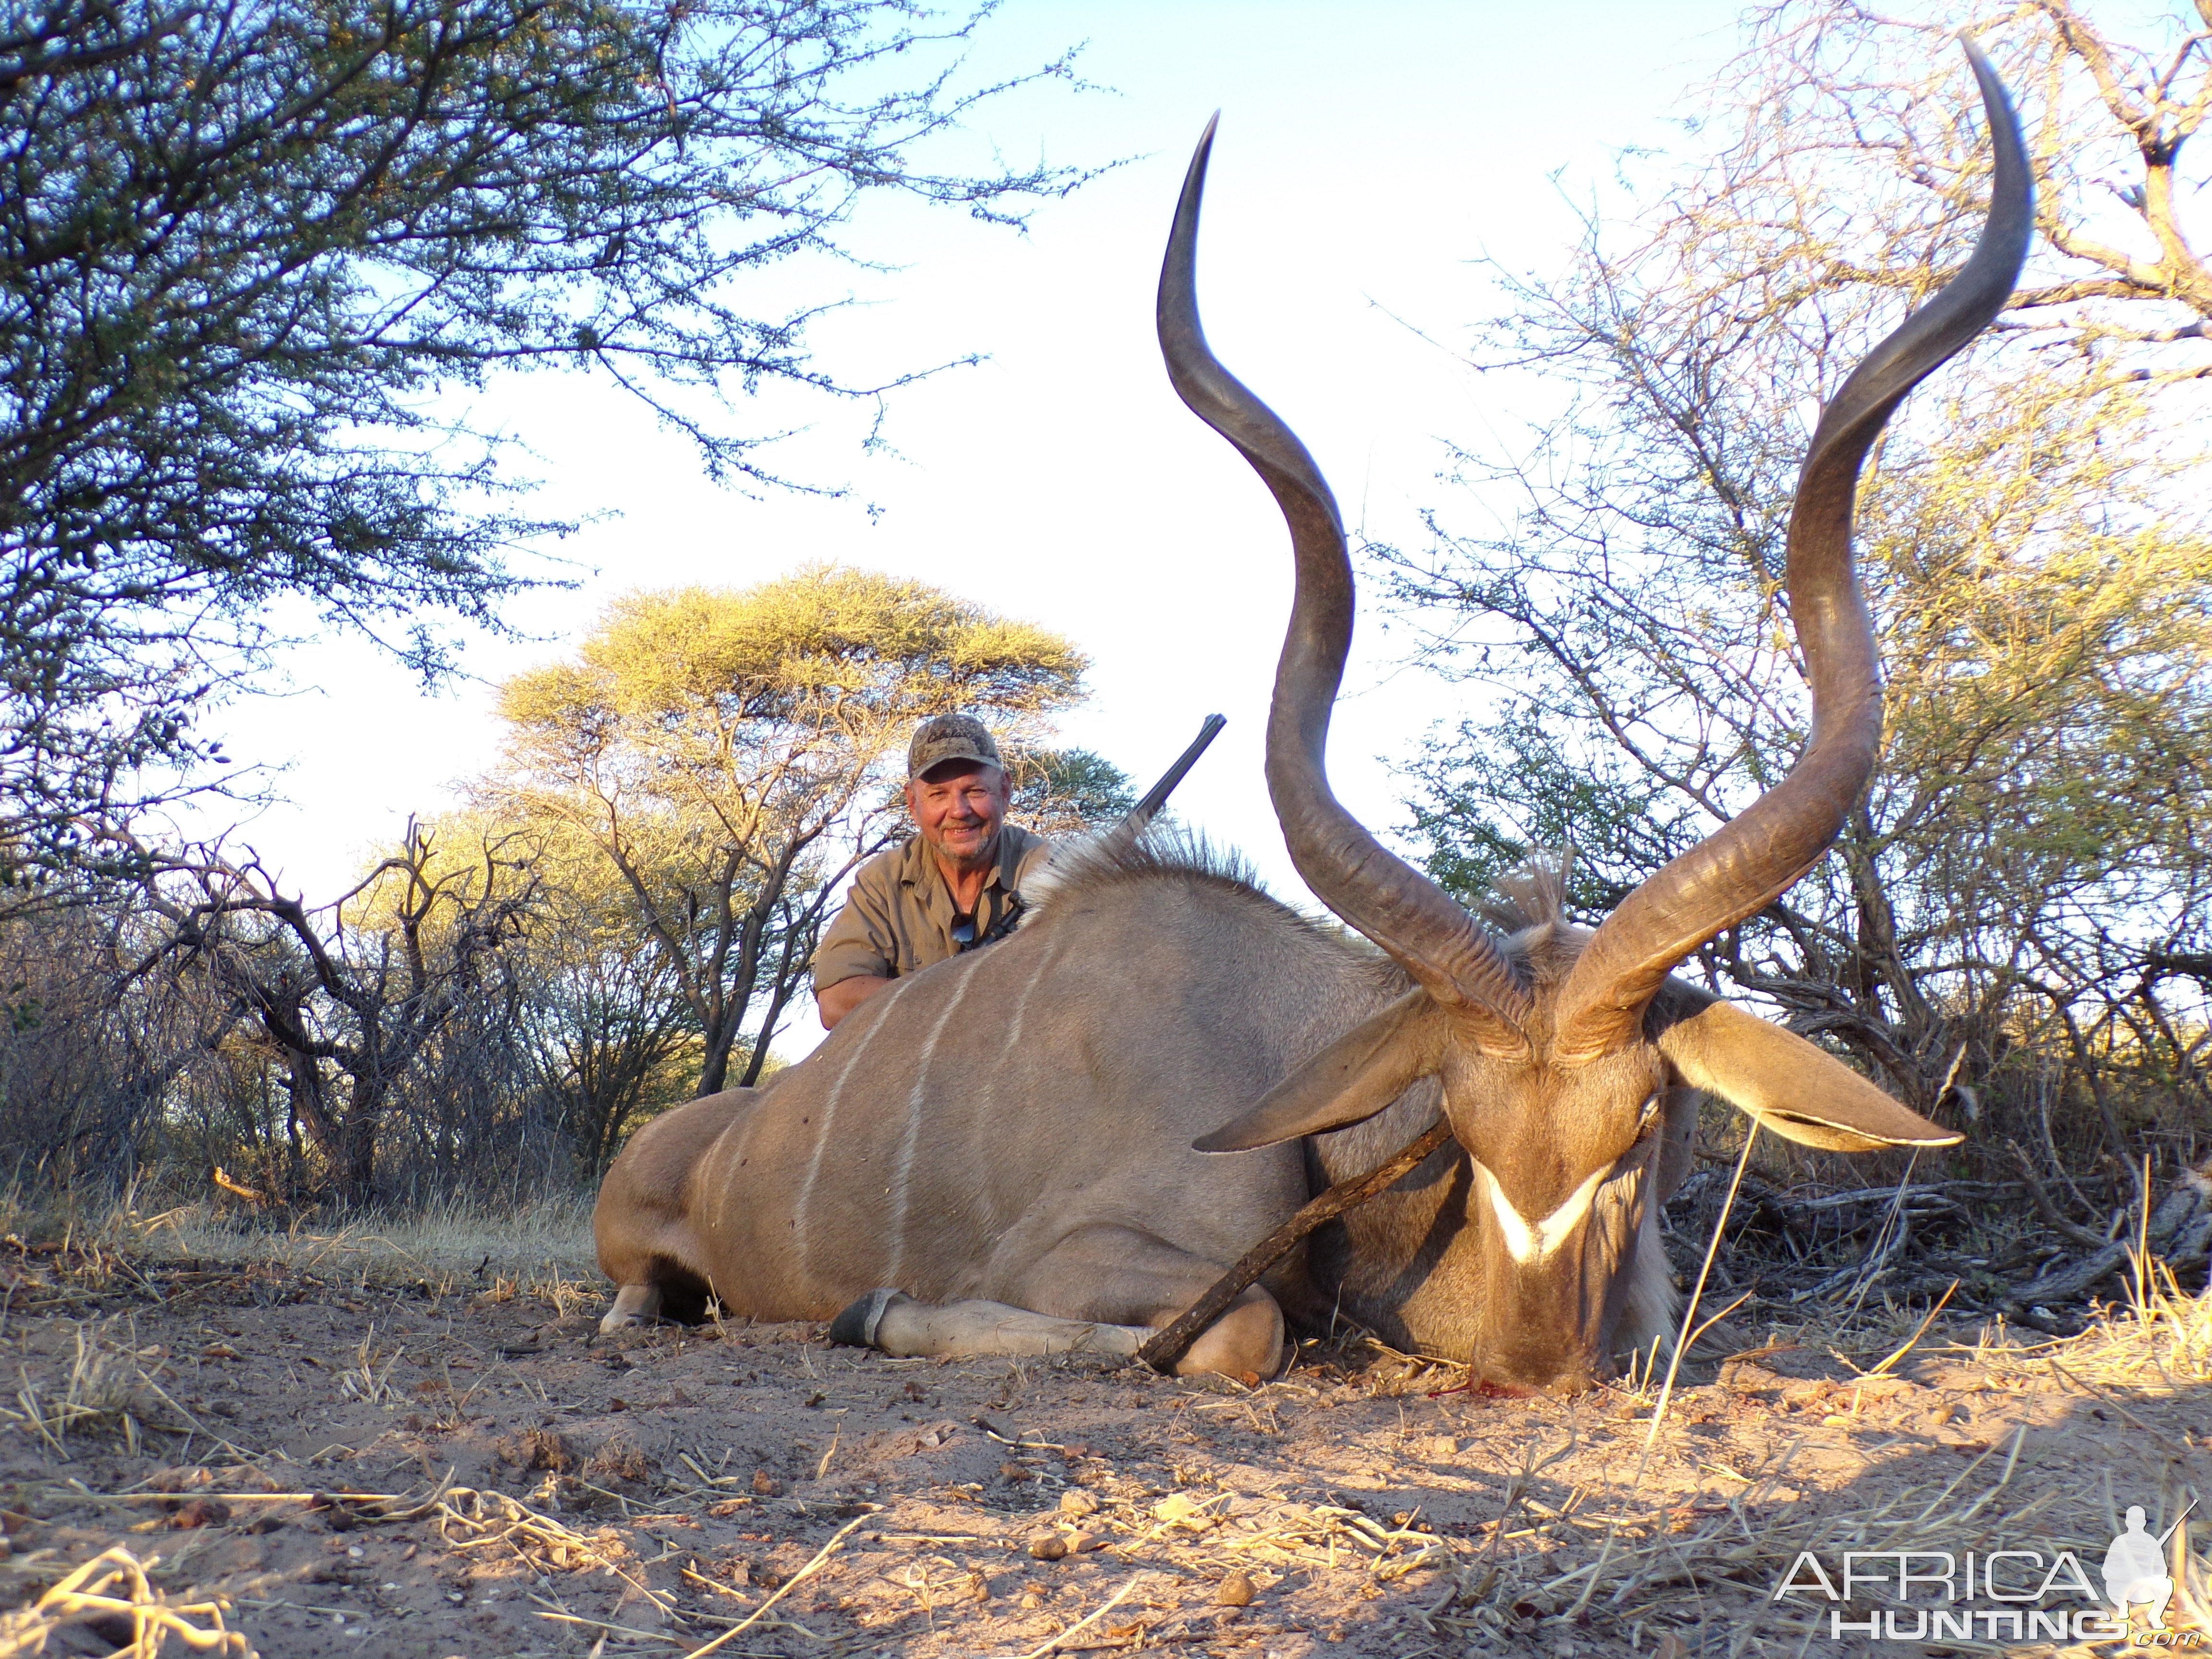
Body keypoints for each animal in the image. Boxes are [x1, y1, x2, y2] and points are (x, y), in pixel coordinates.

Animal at [597, 52, 2026, 1398]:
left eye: (1642, 1124)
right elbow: (1241, 1328)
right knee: (645, 1296)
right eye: (1459, 1123)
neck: (1282, 1051)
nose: (1534, 1363)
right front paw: (875, 1311)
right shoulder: (1089, 1258)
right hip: (636, 1248)